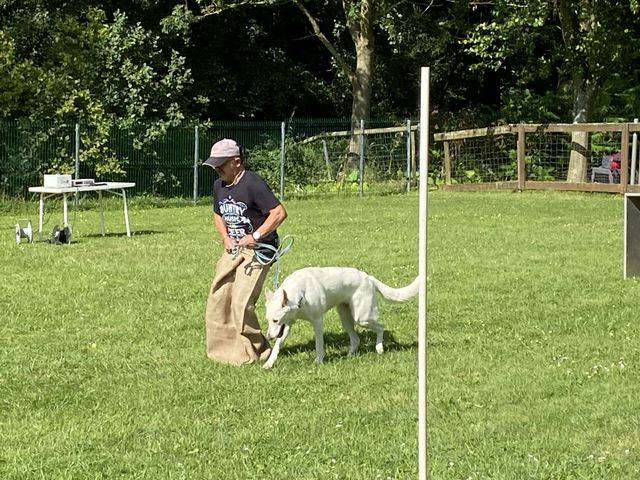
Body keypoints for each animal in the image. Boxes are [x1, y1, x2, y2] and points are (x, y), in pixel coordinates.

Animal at [262, 267, 419, 368]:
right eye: (268, 320)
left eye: (275, 320)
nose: (268, 337)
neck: (300, 294)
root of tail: (368, 278)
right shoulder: (287, 325)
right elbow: (277, 346)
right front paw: (269, 363)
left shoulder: (317, 322)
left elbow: (319, 344)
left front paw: (318, 361)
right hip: (346, 318)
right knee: (356, 339)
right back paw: (349, 356)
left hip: (362, 318)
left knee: (381, 327)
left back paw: (379, 348)